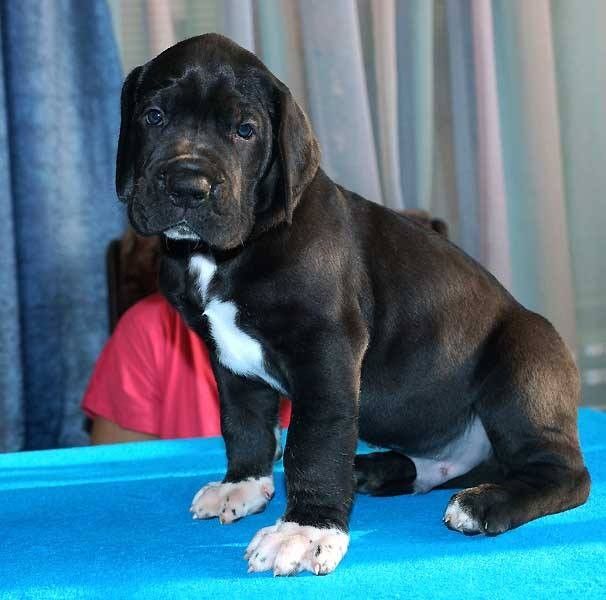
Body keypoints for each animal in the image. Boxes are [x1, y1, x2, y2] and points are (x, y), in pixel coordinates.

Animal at [116, 34, 589, 576]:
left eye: (245, 130)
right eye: (153, 116)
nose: (187, 186)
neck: (221, 255)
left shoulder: (325, 350)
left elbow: (314, 441)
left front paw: (306, 530)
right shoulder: (229, 360)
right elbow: (244, 424)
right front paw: (245, 485)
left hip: (520, 367)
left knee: (564, 473)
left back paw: (483, 502)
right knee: (443, 466)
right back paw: (376, 469)